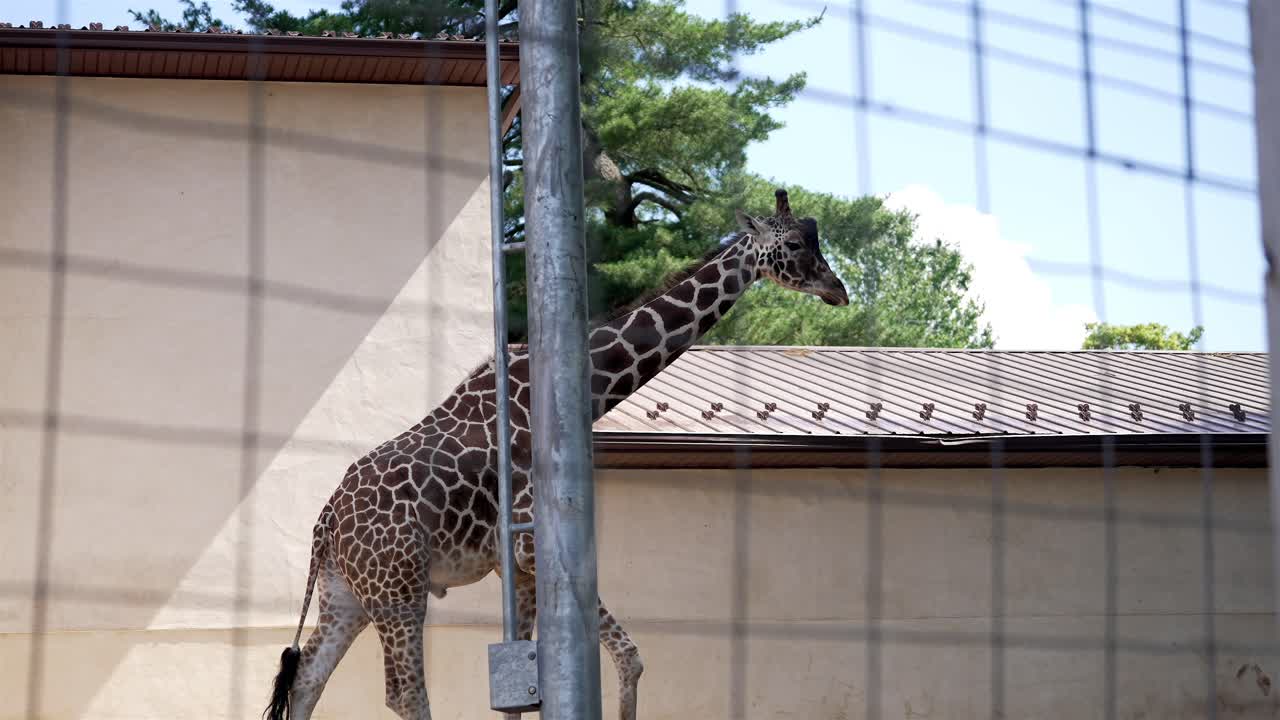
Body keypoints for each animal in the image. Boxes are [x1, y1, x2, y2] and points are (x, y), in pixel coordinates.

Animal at [263, 189, 848, 720]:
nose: (837, 289)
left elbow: (536, 680)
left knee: (308, 675)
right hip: (398, 585)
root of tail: (325, 524)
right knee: (402, 693)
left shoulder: (516, 569)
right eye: (795, 243)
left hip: (348, 591)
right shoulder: (531, 548)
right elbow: (620, 657)